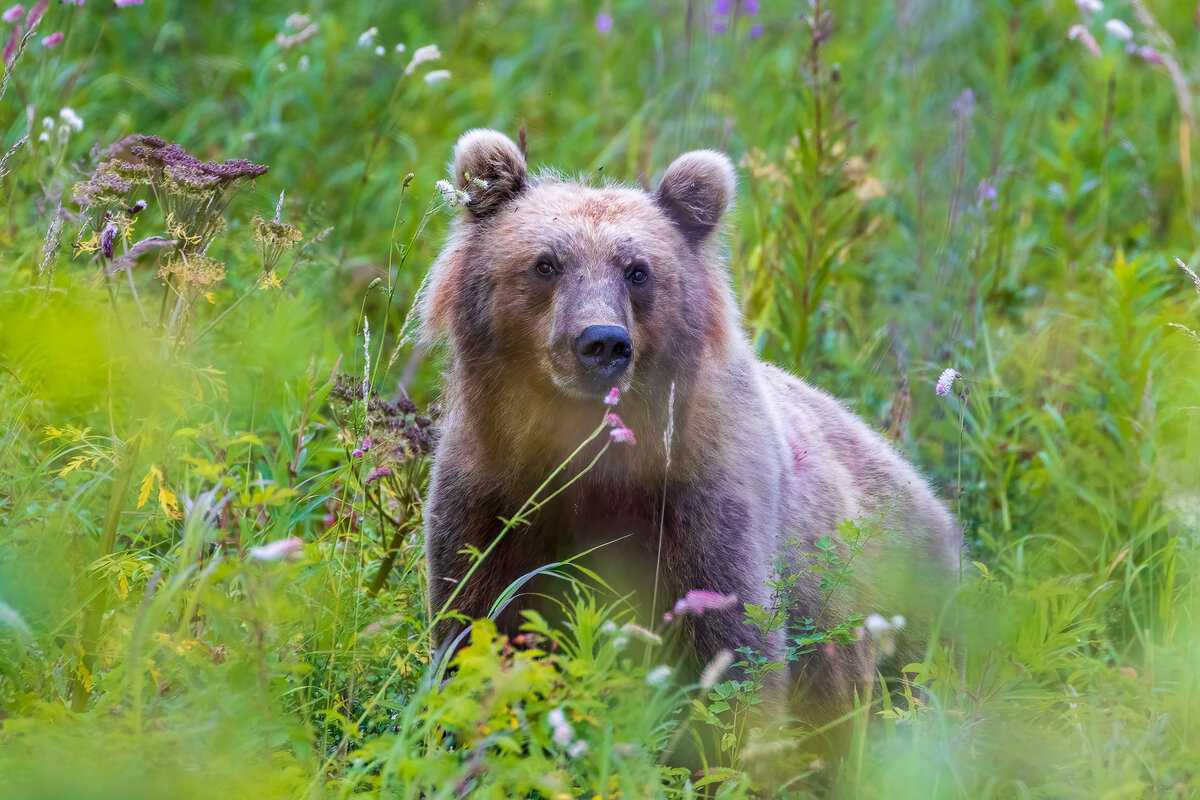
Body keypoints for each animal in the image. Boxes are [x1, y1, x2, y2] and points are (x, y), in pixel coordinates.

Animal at [417, 128, 960, 734]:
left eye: (637, 270)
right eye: (546, 264)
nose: (602, 342)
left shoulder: (702, 498)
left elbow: (731, 650)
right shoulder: (492, 486)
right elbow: (477, 620)